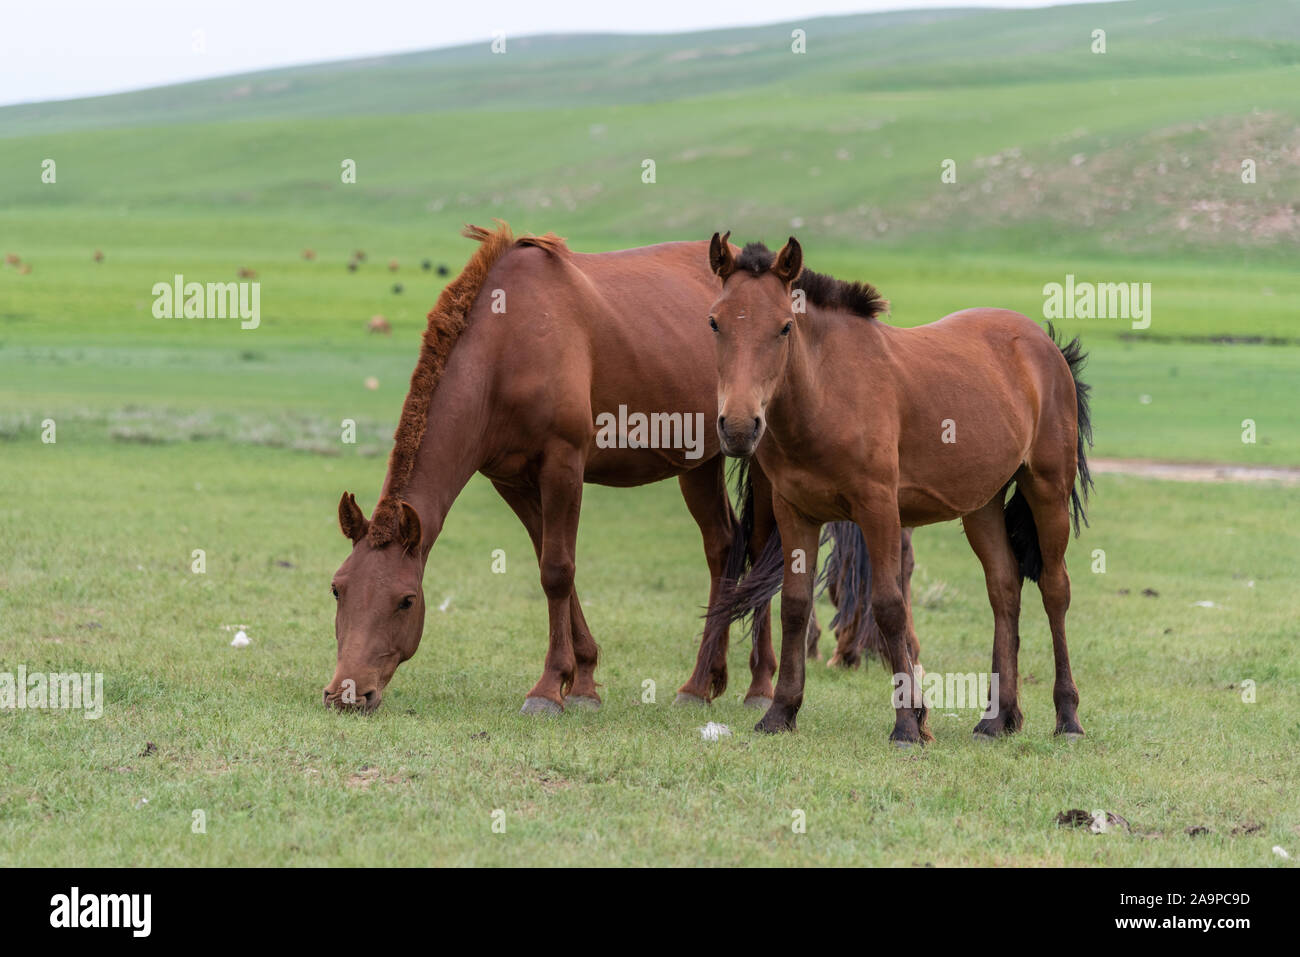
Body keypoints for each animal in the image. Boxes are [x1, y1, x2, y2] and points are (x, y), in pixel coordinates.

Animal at [321, 223, 857, 712]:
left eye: (406, 600)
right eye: (337, 589)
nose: (347, 692)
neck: (507, 341)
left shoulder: (563, 463)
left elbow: (557, 570)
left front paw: (547, 689)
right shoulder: (511, 481)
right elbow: (553, 564)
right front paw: (581, 681)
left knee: (761, 548)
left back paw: (759, 685)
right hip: (697, 463)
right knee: (723, 547)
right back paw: (701, 682)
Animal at [707, 234, 1092, 748]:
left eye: (785, 327)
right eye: (715, 321)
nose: (737, 427)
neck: (828, 390)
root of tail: (1044, 345)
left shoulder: (878, 510)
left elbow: (890, 605)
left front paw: (909, 724)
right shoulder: (795, 513)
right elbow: (794, 606)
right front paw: (780, 712)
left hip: (1047, 490)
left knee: (1054, 589)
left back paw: (1067, 717)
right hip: (982, 507)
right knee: (1004, 590)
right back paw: (998, 718)